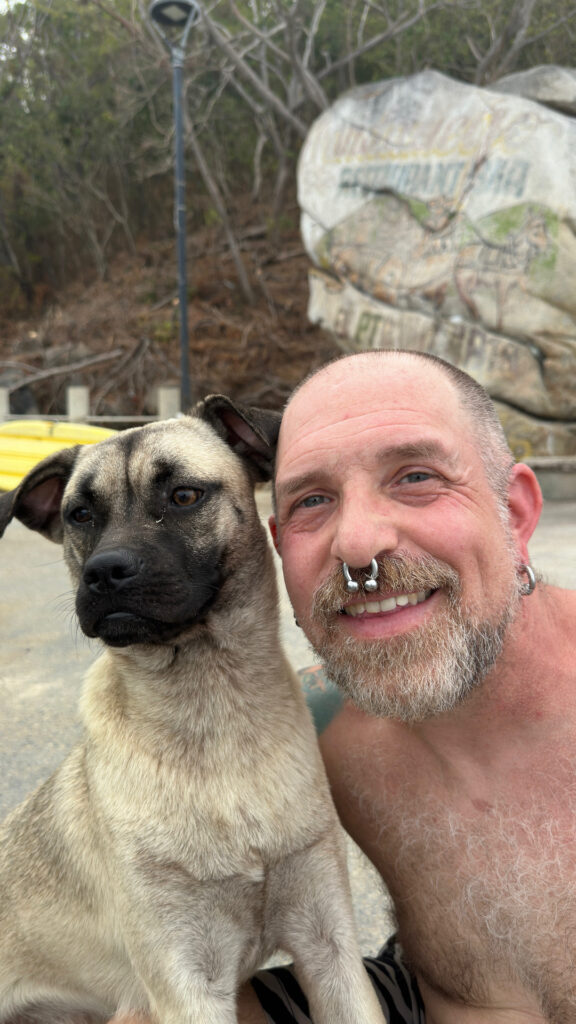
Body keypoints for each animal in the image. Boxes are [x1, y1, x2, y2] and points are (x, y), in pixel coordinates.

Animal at [1, 397, 385, 1024]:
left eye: (183, 495)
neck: (213, 712)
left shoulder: (330, 946)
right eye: (80, 514)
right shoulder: (186, 984)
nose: (103, 573)